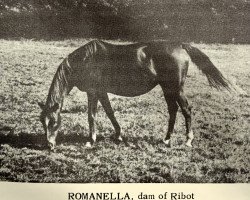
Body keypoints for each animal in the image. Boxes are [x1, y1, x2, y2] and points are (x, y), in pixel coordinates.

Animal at [37, 39, 230, 150]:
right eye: (42, 122)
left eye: (53, 122)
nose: (49, 145)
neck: (86, 60)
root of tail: (180, 46)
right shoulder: (102, 92)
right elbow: (110, 112)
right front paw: (118, 135)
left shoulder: (93, 92)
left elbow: (91, 116)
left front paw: (91, 141)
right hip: (167, 88)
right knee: (173, 110)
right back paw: (166, 139)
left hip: (175, 88)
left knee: (186, 110)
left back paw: (188, 140)